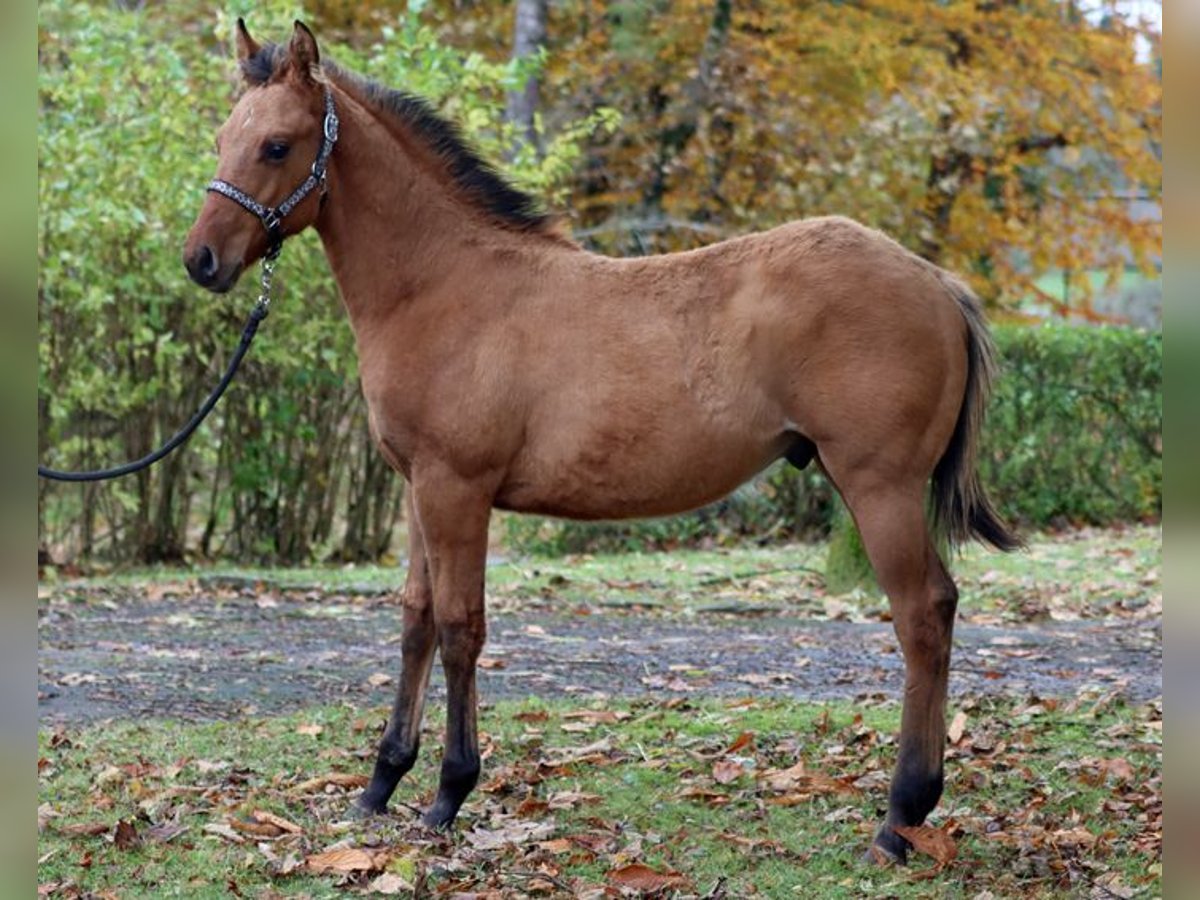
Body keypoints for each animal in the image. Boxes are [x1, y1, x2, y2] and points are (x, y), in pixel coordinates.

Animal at [182, 22, 1017, 868]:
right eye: (221, 138)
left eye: (278, 145)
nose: (201, 261)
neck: (443, 285)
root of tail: (937, 282)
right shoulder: (417, 487)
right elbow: (416, 621)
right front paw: (381, 784)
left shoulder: (458, 489)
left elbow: (459, 629)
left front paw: (449, 793)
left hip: (880, 486)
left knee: (923, 614)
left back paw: (900, 818)